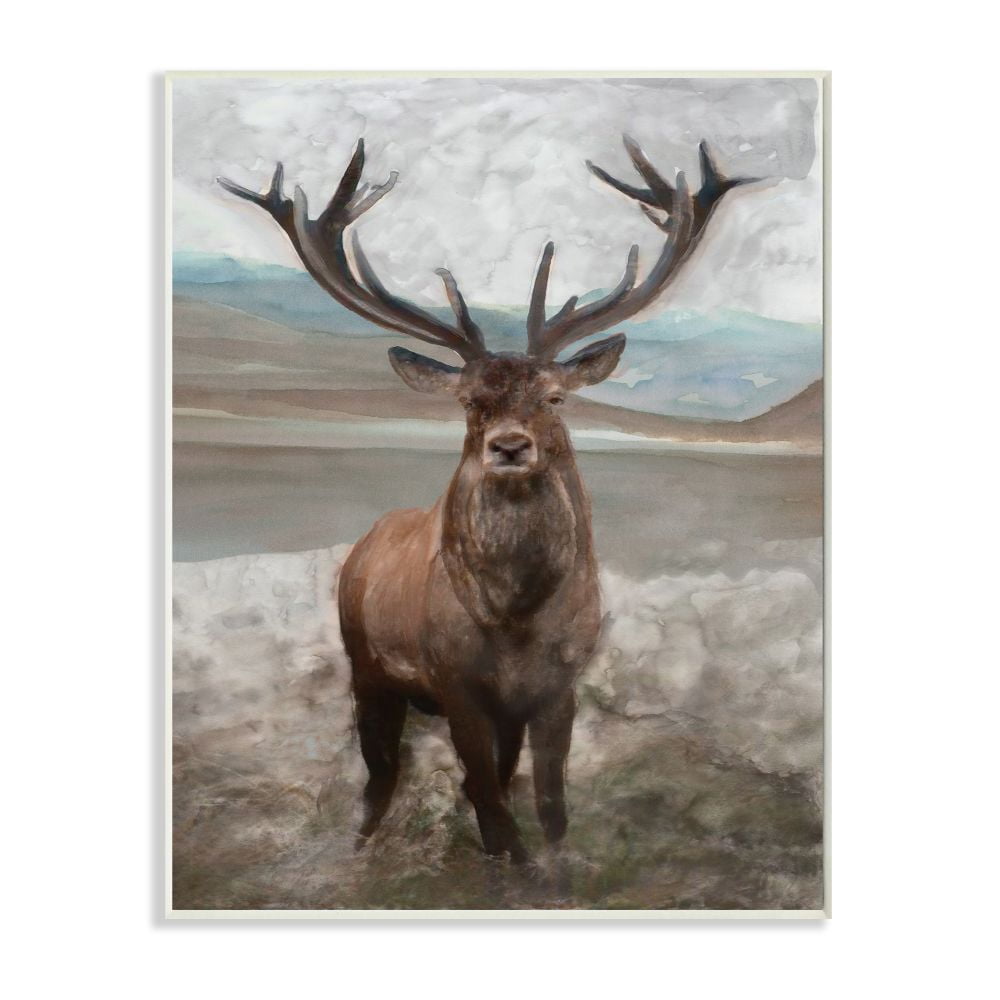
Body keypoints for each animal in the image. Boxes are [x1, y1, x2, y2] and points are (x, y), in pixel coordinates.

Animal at [219, 135, 754, 863]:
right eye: (471, 401)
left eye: (555, 397)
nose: (508, 446)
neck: (516, 621)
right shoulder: (457, 686)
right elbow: (496, 817)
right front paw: (507, 864)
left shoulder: (558, 688)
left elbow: (548, 805)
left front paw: (555, 867)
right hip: (366, 666)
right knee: (382, 776)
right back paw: (358, 850)